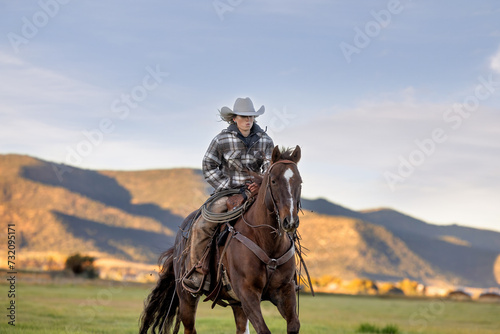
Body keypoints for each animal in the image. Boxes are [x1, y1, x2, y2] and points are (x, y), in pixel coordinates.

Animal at [141, 147, 304, 334]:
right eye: (274, 181)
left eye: (300, 182)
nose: (290, 221)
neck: (267, 242)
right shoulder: (247, 293)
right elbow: (264, 330)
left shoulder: (285, 290)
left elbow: (293, 325)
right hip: (186, 296)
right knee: (190, 327)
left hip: (236, 303)